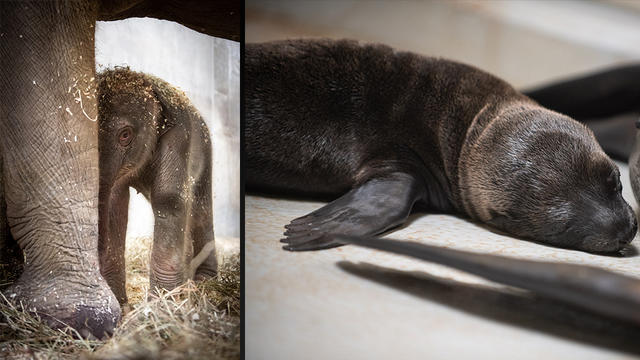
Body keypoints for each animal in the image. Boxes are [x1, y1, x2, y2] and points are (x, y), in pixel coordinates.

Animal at [97, 67, 216, 304]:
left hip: (206, 155)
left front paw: (162, 304)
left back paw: (204, 282)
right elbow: (116, 203)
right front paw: (120, 304)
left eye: (125, 135)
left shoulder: (179, 136)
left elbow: (169, 199)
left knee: (200, 212)